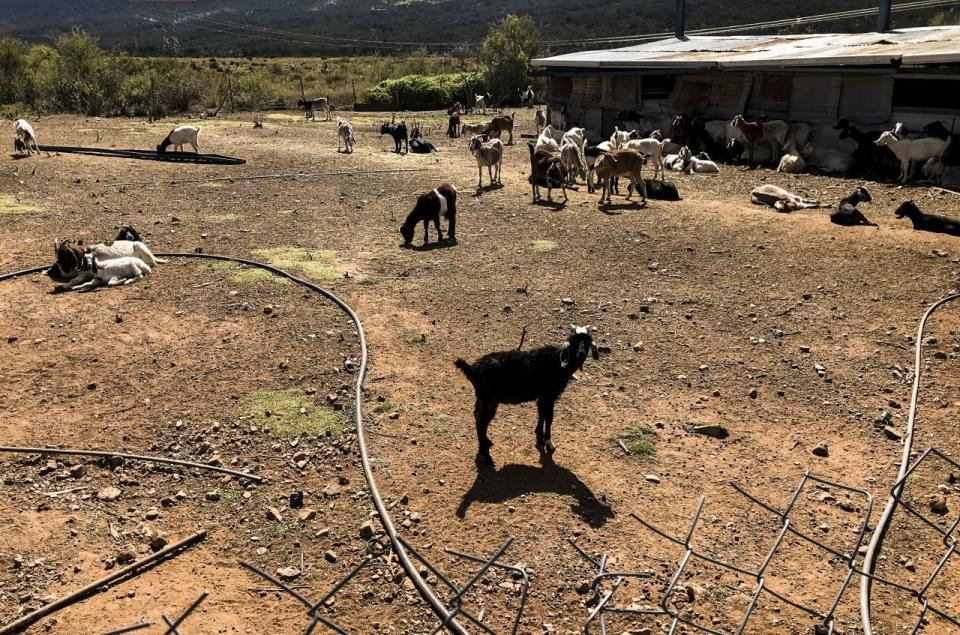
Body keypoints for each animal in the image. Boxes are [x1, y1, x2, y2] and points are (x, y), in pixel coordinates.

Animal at [458, 328, 600, 468]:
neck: (557, 363)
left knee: (477, 416)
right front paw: (549, 443)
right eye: (573, 341)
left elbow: (541, 414)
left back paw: (486, 443)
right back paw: (487, 456)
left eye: (588, 342)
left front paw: (539, 435)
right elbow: (549, 418)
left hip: (482, 397)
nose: (581, 354)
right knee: (481, 421)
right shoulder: (549, 396)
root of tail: (472, 369)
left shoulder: (542, 397)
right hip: (488, 398)